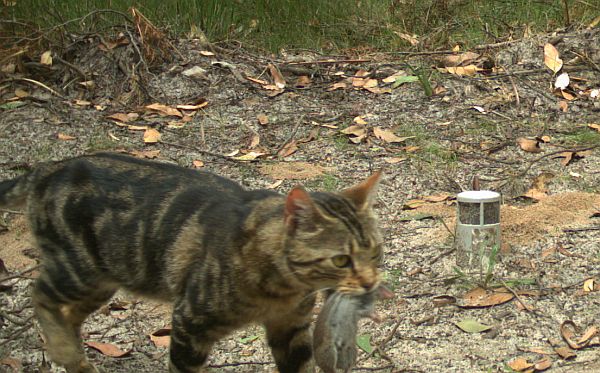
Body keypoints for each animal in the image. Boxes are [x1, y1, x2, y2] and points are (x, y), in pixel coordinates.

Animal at [0, 153, 384, 370]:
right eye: (341, 259)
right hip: (78, 270)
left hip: (105, 278)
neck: (281, 288)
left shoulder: (290, 329)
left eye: (376, 253)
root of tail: (49, 168)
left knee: (69, 314)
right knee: (39, 293)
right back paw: (64, 351)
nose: (370, 283)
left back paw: (78, 361)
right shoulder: (189, 323)